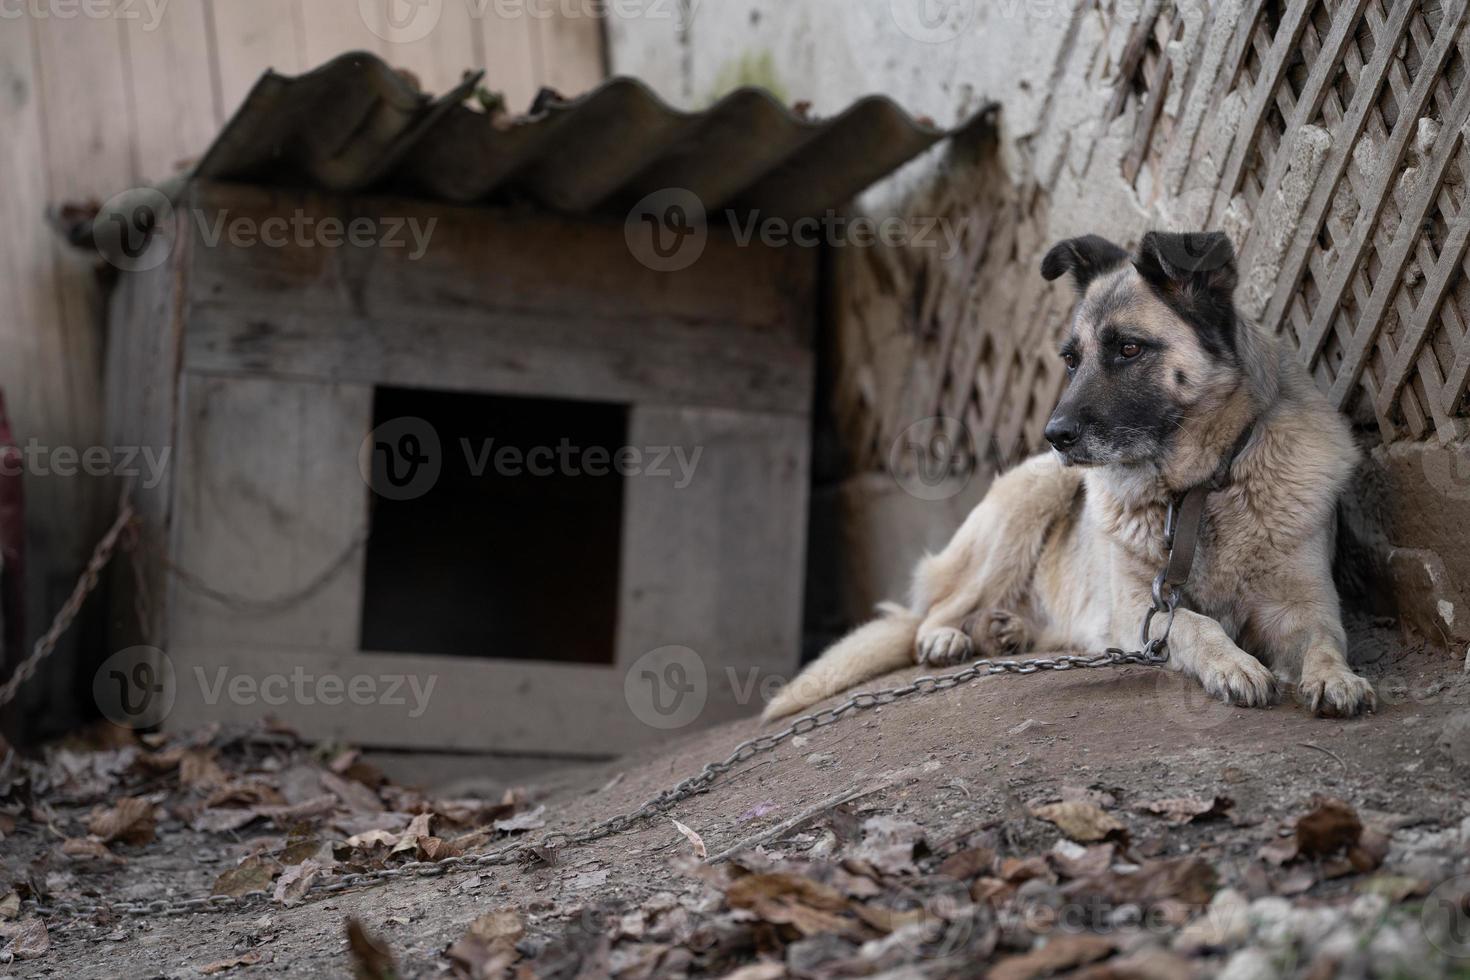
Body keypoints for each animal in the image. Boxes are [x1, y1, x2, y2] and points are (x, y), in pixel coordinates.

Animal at [770, 230, 1375, 719]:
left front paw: (1336, 678)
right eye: (1070, 359)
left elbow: (1325, 642)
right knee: (932, 613)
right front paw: (1235, 664)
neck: (1199, 491)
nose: (1054, 434)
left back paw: (1006, 631)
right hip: (1027, 502)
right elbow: (1193, 622)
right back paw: (948, 637)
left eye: (1128, 348)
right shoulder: (1141, 610)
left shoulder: (1306, 604)